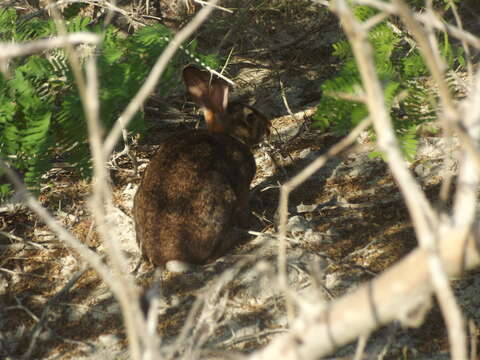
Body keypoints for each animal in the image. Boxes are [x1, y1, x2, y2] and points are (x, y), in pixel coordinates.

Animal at [133, 65, 270, 268]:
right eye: (250, 117)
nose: (269, 126)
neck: (227, 134)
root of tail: (169, 257)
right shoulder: (243, 185)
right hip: (220, 196)